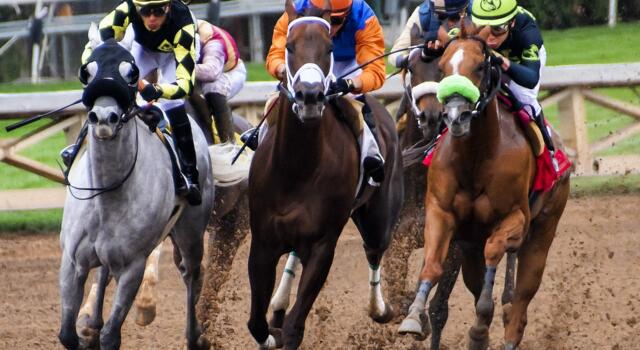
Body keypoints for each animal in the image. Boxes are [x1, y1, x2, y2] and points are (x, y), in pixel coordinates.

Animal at [57, 38, 214, 350]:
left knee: (192, 273)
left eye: (131, 74)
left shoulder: (133, 266)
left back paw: (194, 336)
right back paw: (91, 323)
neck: (106, 194)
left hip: (191, 231)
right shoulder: (71, 261)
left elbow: (111, 336)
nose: (103, 118)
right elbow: (67, 334)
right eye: (87, 71)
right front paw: (86, 332)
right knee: (103, 272)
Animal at [248, 1, 402, 348]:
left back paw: (379, 309)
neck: (297, 168)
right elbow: (256, 324)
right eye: (290, 47)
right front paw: (272, 328)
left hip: (378, 215)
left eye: (329, 47)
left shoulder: (322, 246)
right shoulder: (262, 242)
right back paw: (278, 304)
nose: (309, 96)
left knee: (374, 250)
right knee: (293, 256)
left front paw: (284, 329)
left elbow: (295, 326)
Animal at [400, 31, 568, 348]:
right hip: (470, 247)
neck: (476, 156)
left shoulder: (515, 219)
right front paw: (413, 317)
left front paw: (480, 326)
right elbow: (431, 265)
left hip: (543, 229)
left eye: (480, 66)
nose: (454, 115)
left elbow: (494, 254)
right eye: (442, 68)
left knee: (520, 303)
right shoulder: (441, 214)